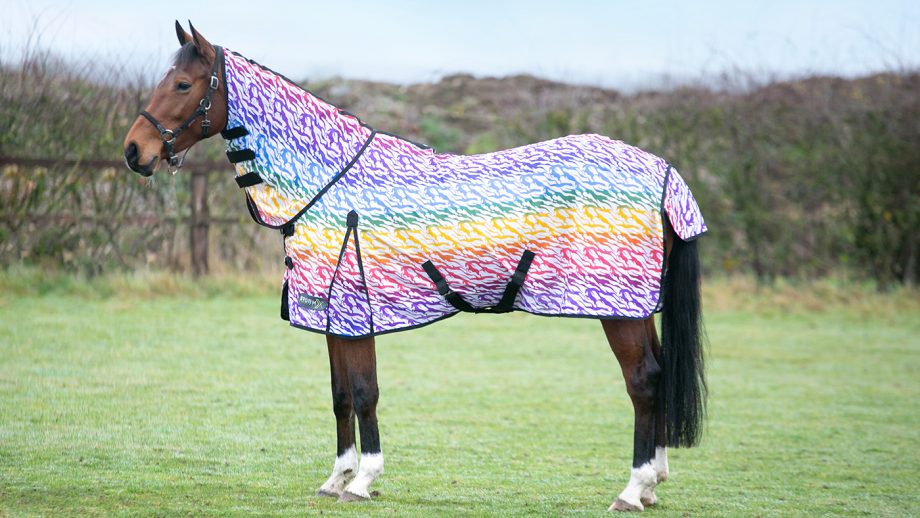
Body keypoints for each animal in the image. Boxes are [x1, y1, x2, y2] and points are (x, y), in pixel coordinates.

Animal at [123, 22, 707, 512]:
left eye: (182, 84)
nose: (134, 151)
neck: (329, 180)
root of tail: (662, 170)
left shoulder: (355, 315)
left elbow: (365, 392)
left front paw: (363, 481)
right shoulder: (333, 316)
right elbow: (340, 395)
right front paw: (336, 478)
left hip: (618, 308)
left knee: (643, 382)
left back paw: (632, 489)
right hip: (635, 308)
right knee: (657, 375)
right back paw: (653, 484)